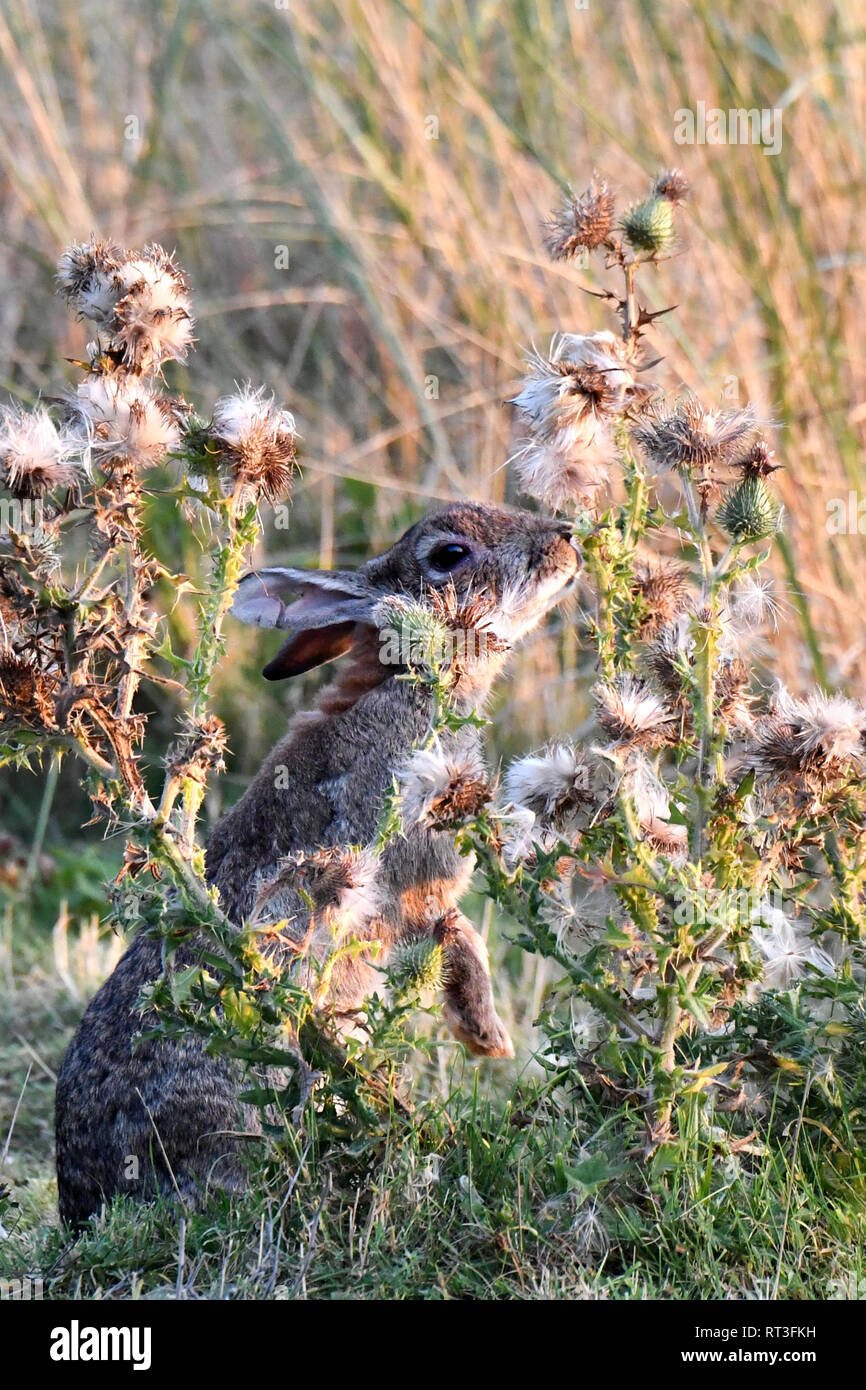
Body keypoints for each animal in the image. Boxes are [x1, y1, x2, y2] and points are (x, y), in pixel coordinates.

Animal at [55, 502, 578, 1228]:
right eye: (448, 555)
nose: (568, 541)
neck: (404, 680)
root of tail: (86, 1202)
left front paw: (483, 1038)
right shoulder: (413, 867)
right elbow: (454, 928)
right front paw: (486, 1035)